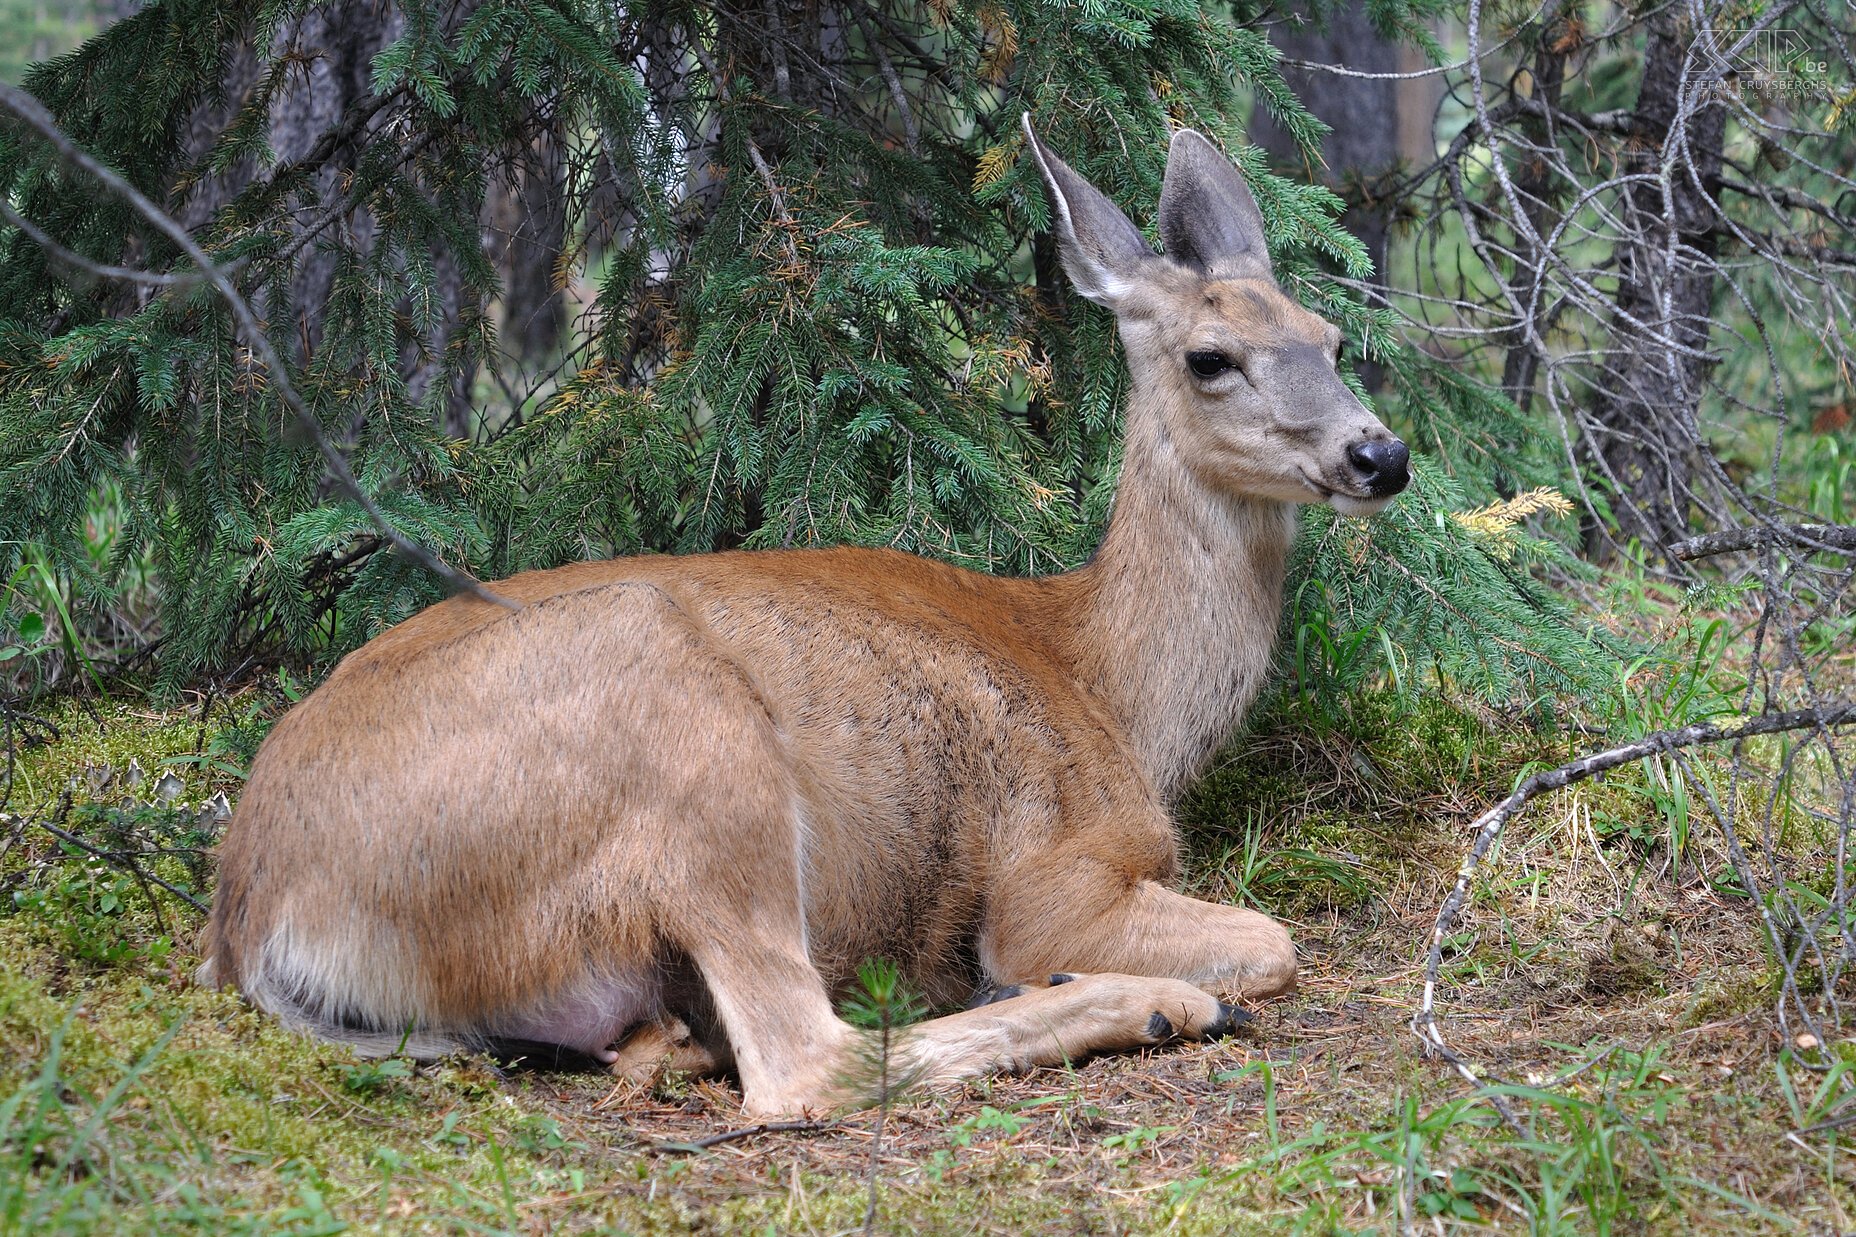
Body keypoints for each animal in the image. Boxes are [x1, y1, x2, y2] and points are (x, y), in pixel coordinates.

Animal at [199, 120, 1403, 1114]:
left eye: (1332, 336)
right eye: (1210, 358)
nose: (1378, 454)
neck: (1112, 684)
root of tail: (258, 917)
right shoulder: (1055, 868)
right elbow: (1270, 937)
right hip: (692, 745)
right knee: (802, 1061)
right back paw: (1151, 1002)